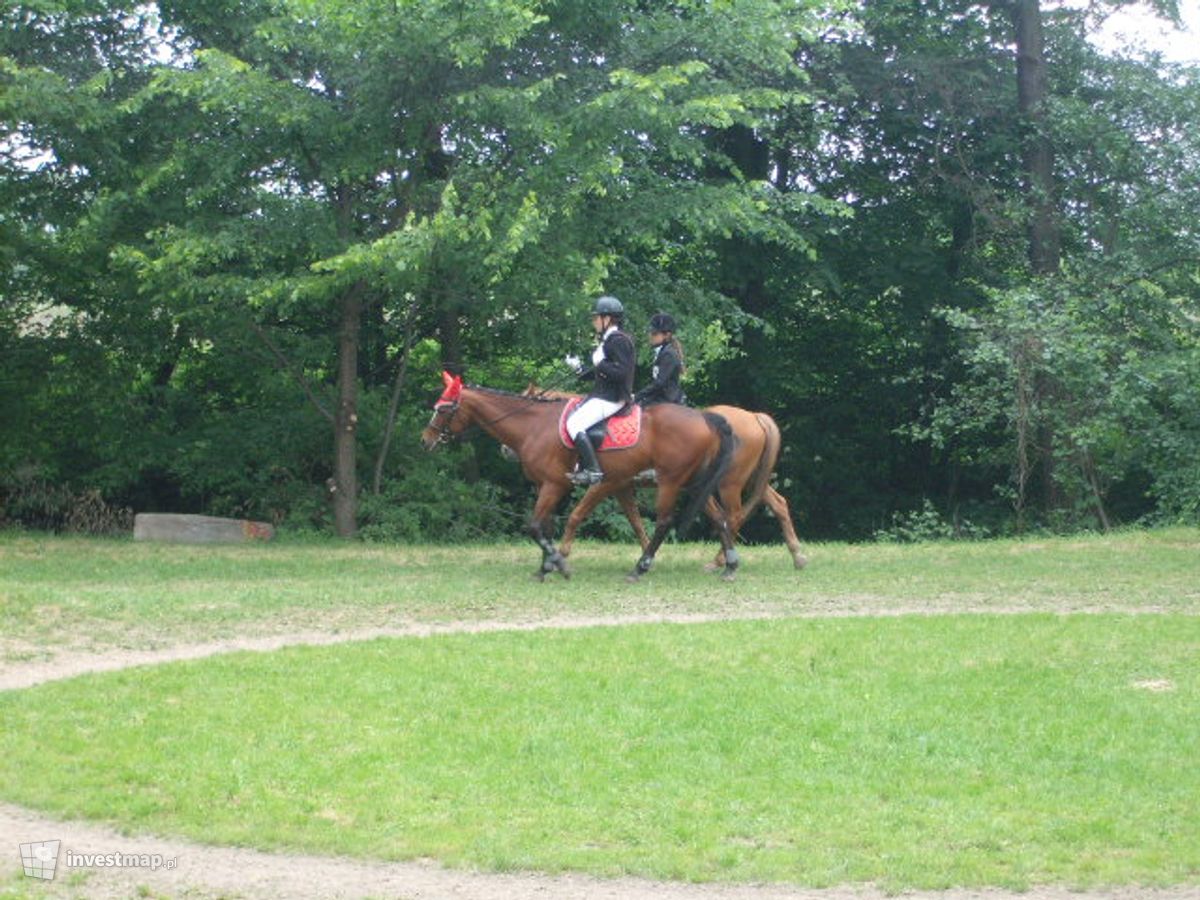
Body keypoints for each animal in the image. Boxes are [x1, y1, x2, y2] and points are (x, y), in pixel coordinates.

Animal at [422, 369, 739, 580]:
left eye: (444, 409)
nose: (426, 440)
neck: (536, 425)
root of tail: (704, 417)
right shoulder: (553, 486)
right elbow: (548, 526)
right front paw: (545, 566)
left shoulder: (581, 484)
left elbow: (545, 524)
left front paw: (559, 562)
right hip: (694, 483)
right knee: (720, 517)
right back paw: (730, 565)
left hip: (671, 482)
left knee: (665, 521)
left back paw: (641, 568)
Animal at [523, 386, 806, 571]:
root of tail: (753, 416)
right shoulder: (622, 486)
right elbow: (636, 522)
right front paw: (647, 554)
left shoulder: (605, 483)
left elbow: (577, 515)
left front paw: (561, 554)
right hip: (748, 479)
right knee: (776, 504)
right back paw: (796, 556)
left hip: (730, 483)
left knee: (734, 516)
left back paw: (719, 561)